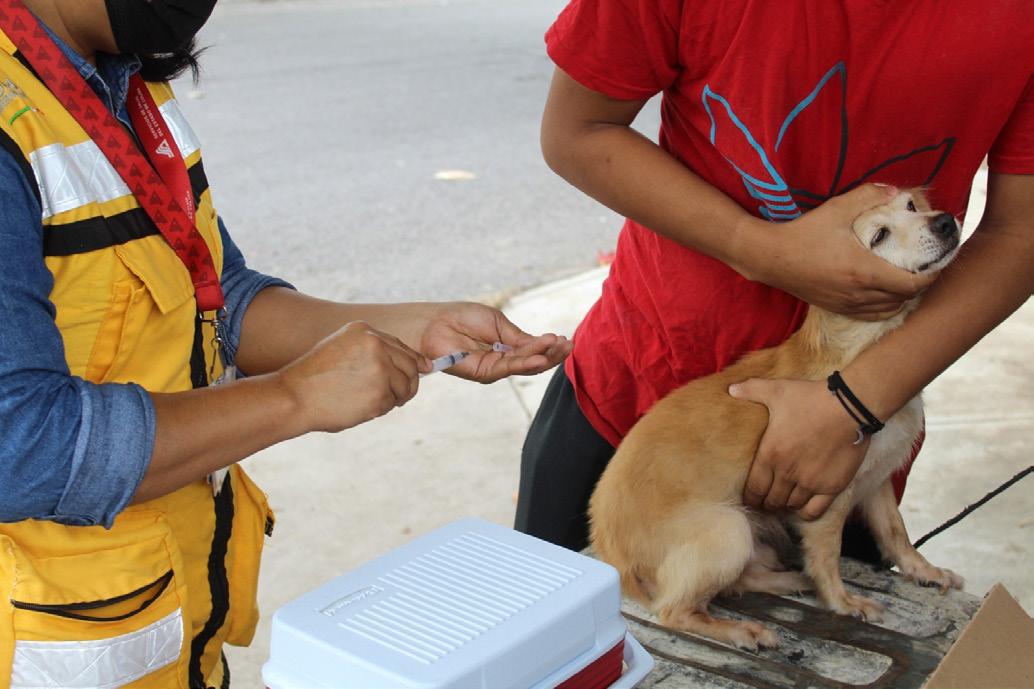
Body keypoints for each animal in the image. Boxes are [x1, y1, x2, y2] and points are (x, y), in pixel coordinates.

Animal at [588, 188, 964, 650]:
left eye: (911, 206)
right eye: (879, 236)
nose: (944, 222)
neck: (858, 354)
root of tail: (611, 553)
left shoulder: (876, 481)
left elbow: (896, 535)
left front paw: (924, 571)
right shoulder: (827, 495)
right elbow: (828, 555)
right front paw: (842, 602)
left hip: (750, 537)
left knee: (737, 582)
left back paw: (787, 581)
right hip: (730, 528)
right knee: (675, 611)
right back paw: (740, 629)